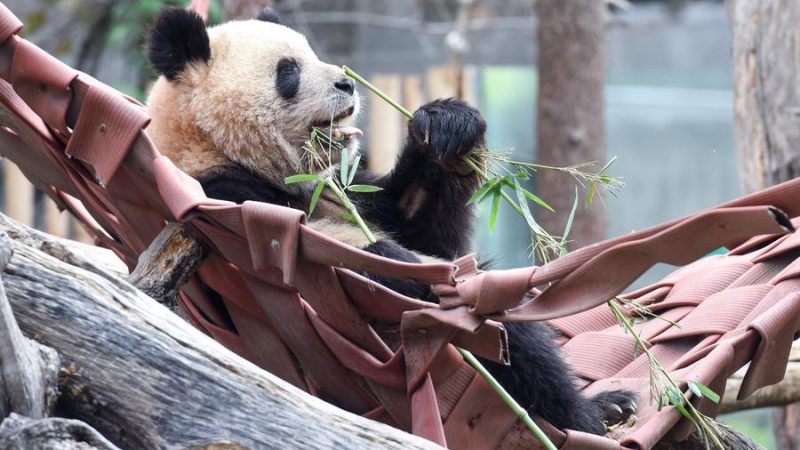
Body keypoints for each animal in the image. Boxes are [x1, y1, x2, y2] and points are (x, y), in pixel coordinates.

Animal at [145, 7, 636, 436]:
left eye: (311, 53)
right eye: (288, 72)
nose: (347, 83)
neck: (210, 145)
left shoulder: (343, 189)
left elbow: (422, 227)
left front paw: (446, 127)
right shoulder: (223, 197)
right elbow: (341, 260)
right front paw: (403, 269)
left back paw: (607, 406)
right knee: (508, 333)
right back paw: (585, 418)